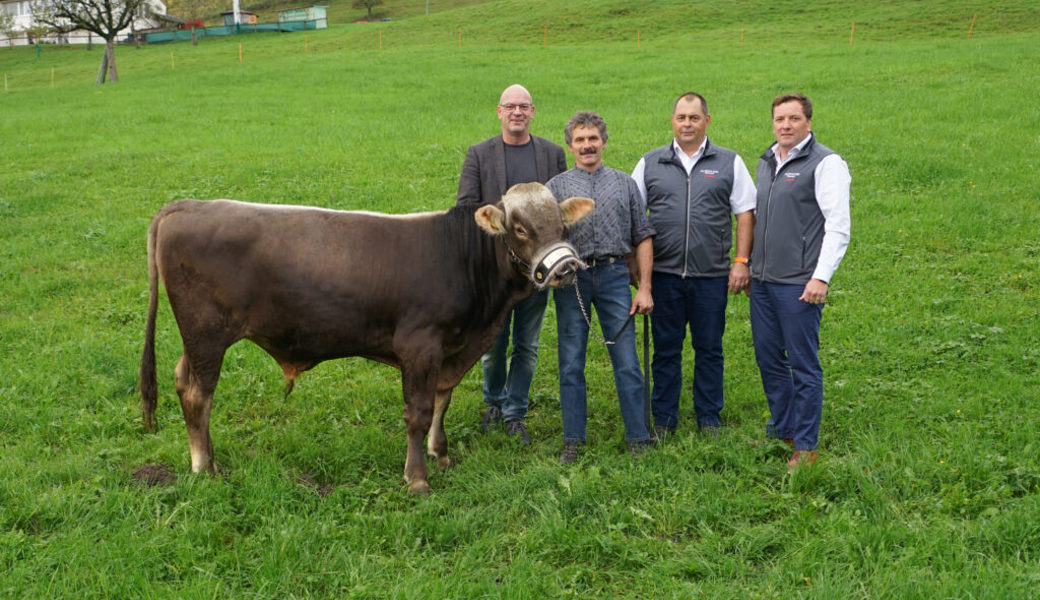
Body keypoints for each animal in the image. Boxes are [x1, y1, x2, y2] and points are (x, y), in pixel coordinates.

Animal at [138, 180, 594, 490]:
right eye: (520, 229)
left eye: (562, 225)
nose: (565, 267)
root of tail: (187, 205)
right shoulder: (419, 346)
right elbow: (418, 412)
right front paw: (417, 478)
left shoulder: (450, 351)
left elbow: (441, 402)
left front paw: (441, 455)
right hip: (207, 334)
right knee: (198, 394)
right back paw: (205, 468)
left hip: (195, 340)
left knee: (181, 380)